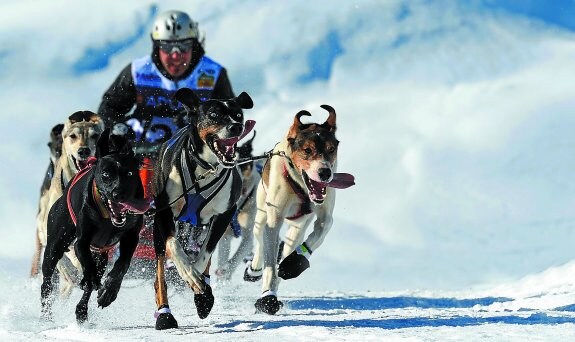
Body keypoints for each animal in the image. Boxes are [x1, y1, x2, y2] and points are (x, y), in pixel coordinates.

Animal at [40, 130, 153, 324]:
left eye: (130, 173)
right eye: (106, 174)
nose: (119, 194)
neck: (108, 218)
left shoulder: (131, 238)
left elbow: (122, 265)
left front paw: (109, 291)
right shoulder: (82, 242)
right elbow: (88, 265)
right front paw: (91, 280)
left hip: (102, 254)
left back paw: (82, 310)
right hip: (54, 246)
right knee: (46, 282)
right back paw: (46, 315)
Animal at [244, 105, 356, 316]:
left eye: (331, 149)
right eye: (307, 150)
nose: (325, 173)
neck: (301, 186)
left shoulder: (323, 214)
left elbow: (321, 230)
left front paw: (295, 262)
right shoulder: (274, 218)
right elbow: (270, 260)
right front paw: (268, 298)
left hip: (297, 227)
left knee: (288, 246)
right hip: (261, 212)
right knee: (260, 239)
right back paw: (254, 270)